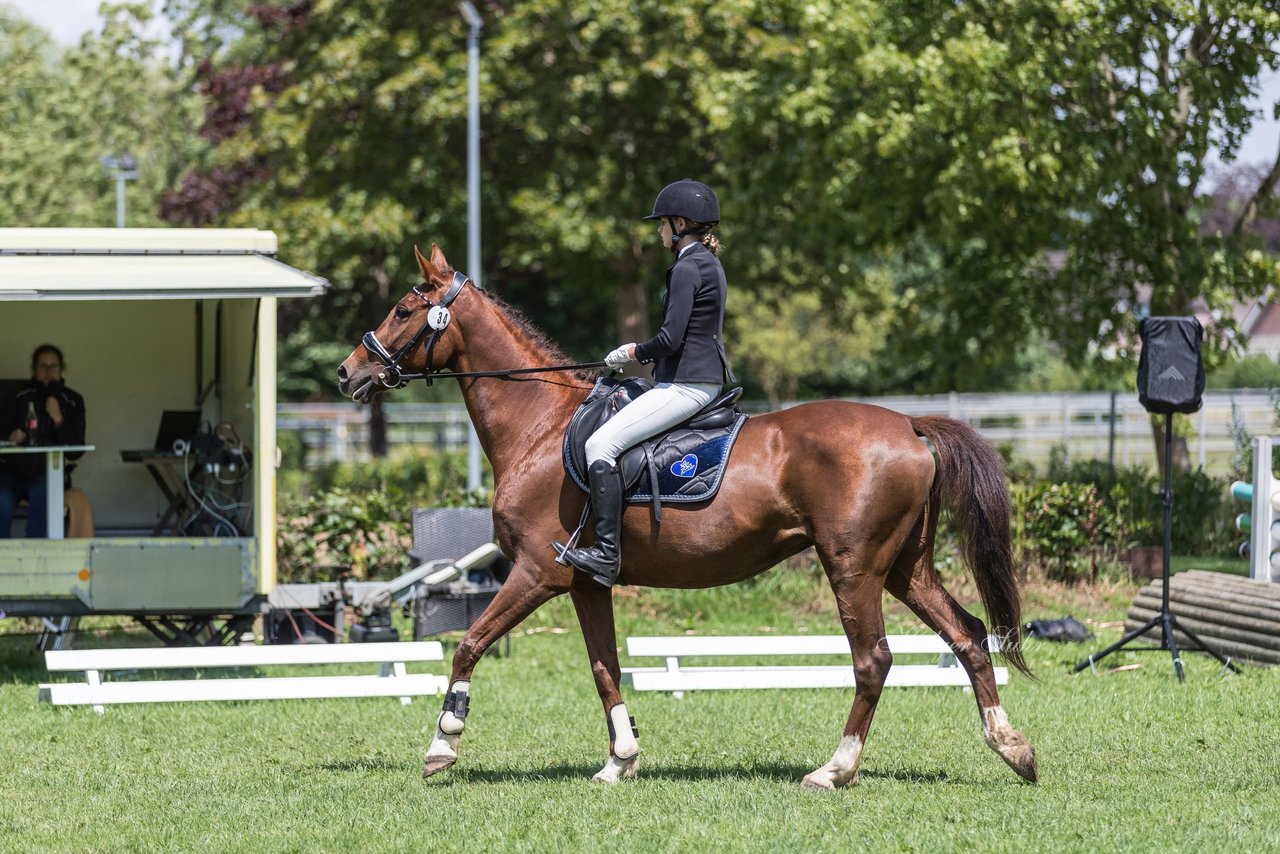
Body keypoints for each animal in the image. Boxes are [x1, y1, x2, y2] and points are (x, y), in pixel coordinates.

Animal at [335, 245, 1034, 788]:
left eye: (402, 311)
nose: (347, 373)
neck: (540, 426)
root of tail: (909, 425)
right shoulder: (585, 581)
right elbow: (604, 667)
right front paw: (620, 760)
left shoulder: (536, 573)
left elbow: (469, 644)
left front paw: (442, 744)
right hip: (904, 568)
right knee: (968, 634)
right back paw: (1014, 749)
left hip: (854, 568)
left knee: (873, 660)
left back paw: (834, 770)